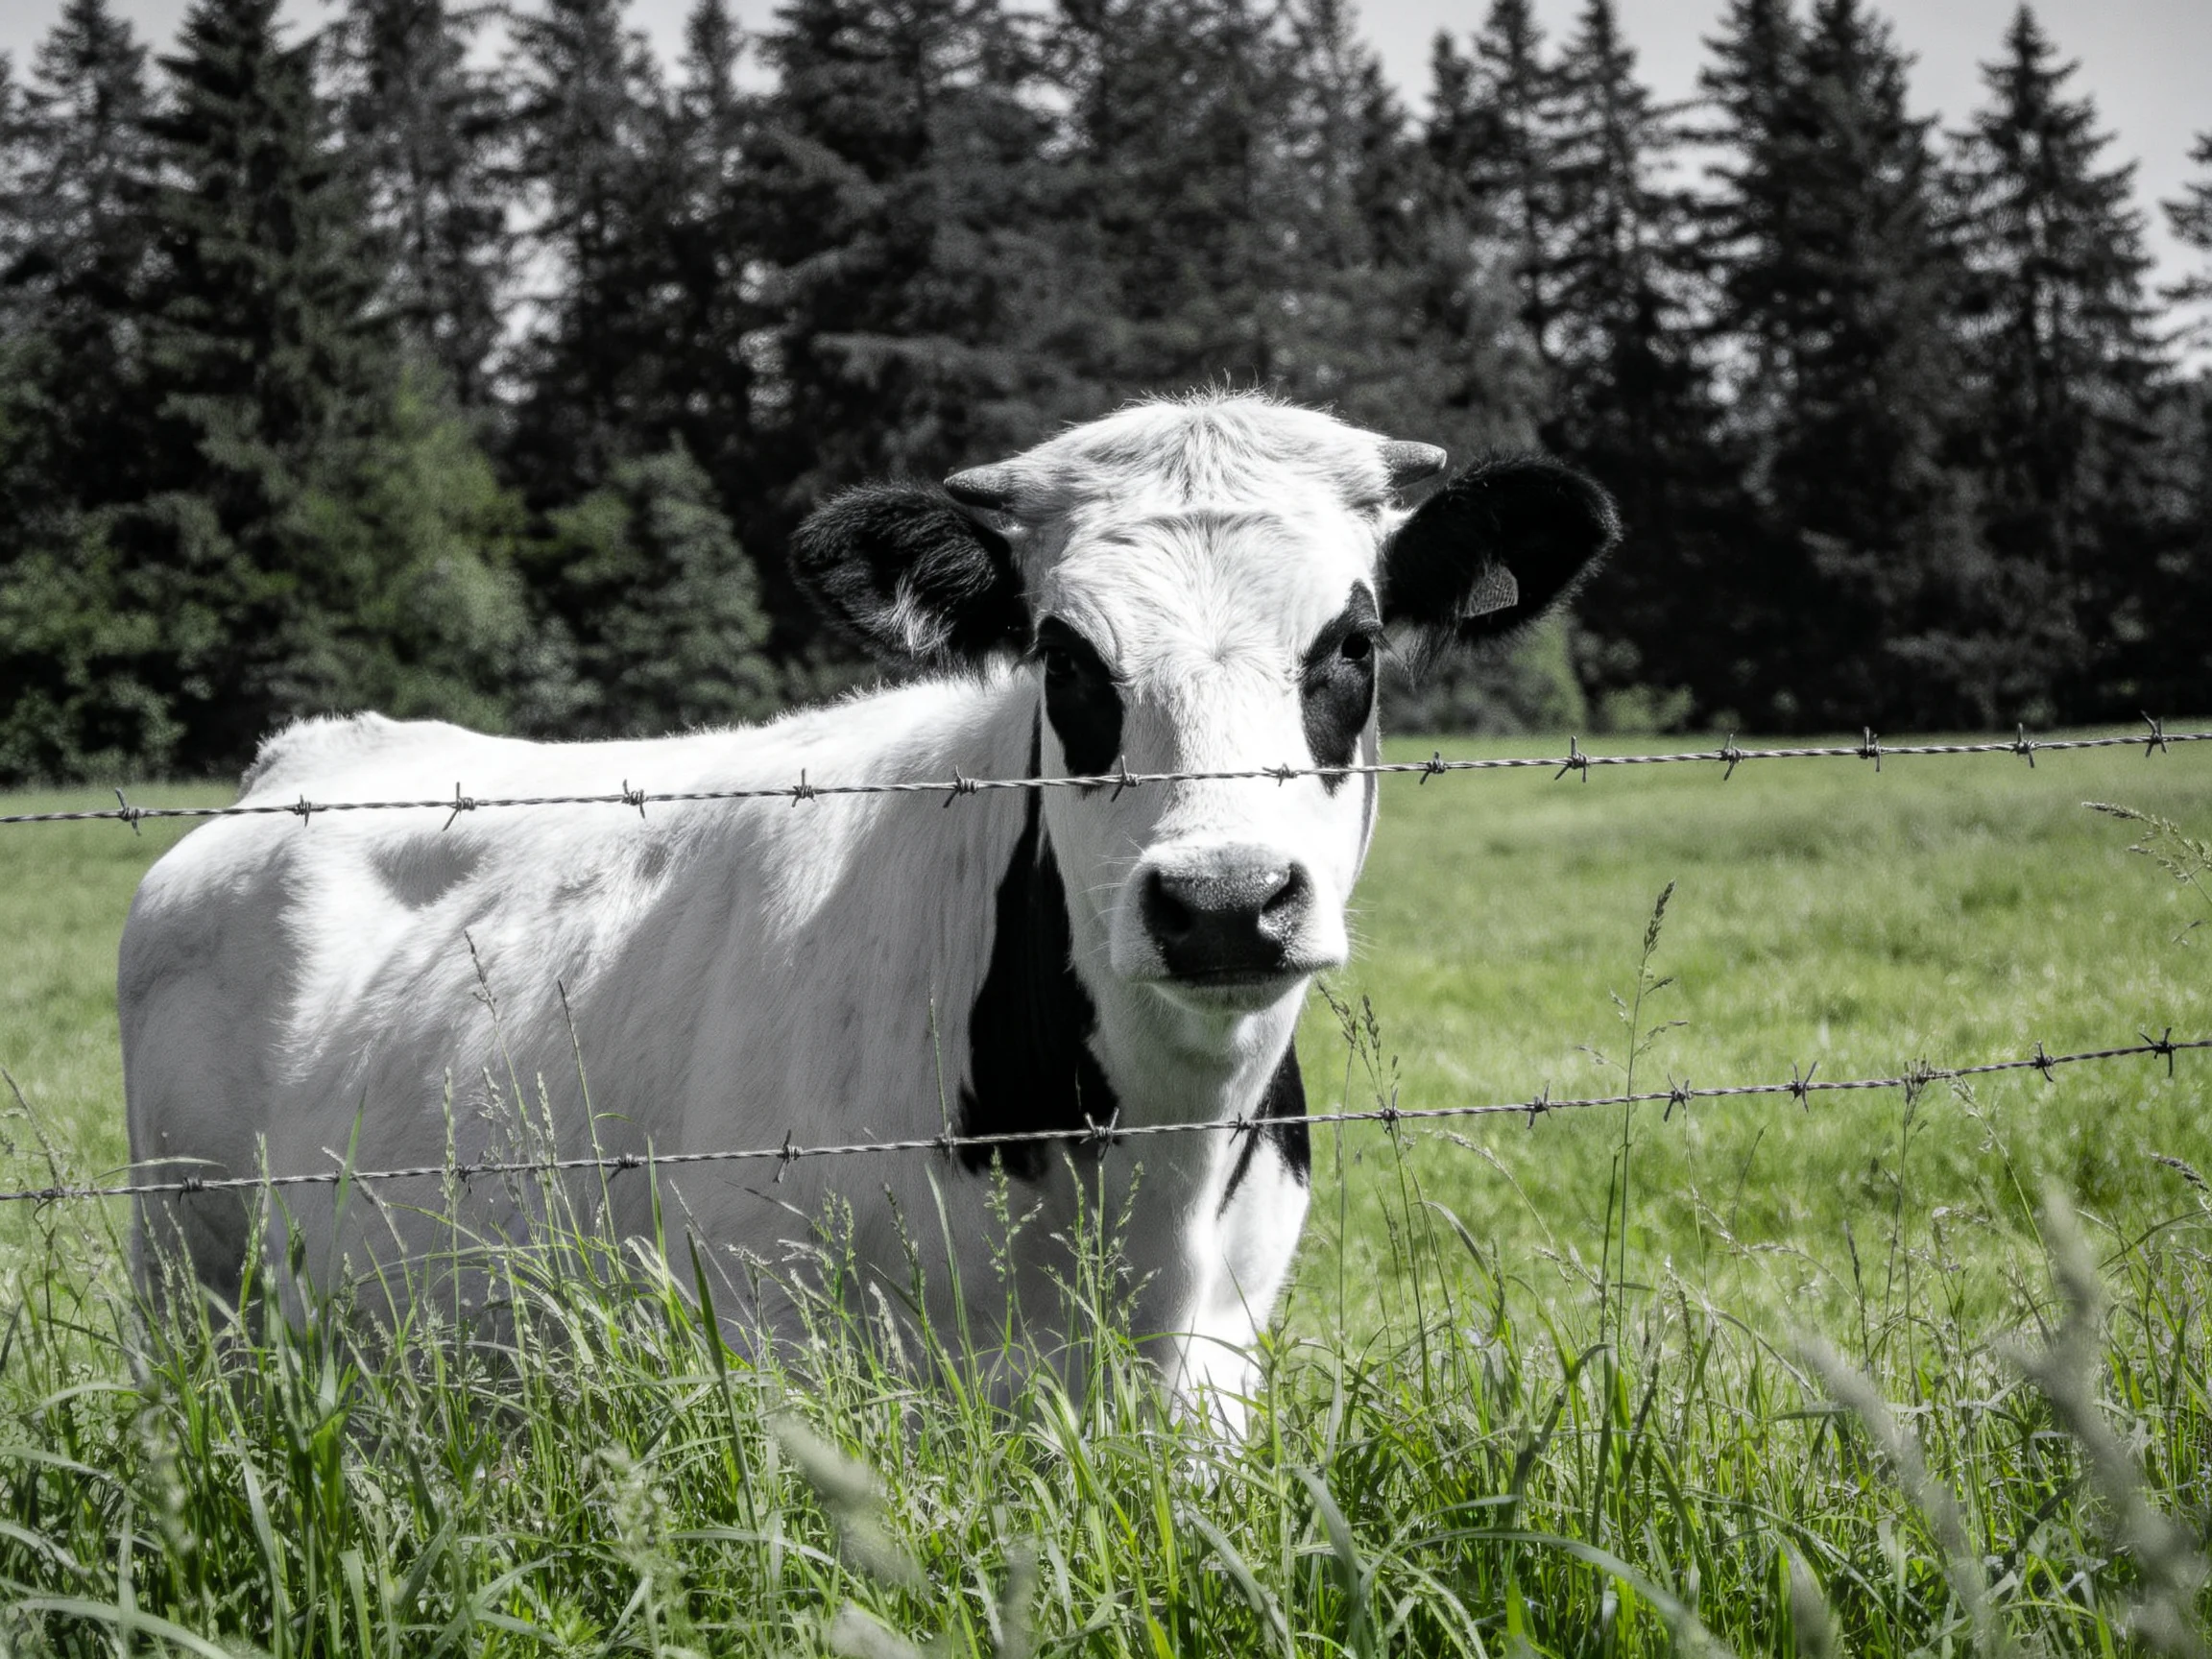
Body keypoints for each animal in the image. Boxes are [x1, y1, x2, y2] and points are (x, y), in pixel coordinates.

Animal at [120, 392, 1616, 1424]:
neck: (1143, 1173)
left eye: (1352, 646)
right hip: (192, 1274)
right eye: (1067, 658)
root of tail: (314, 747)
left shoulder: (1217, 1373)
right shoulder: (782, 1344)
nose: (1223, 902)